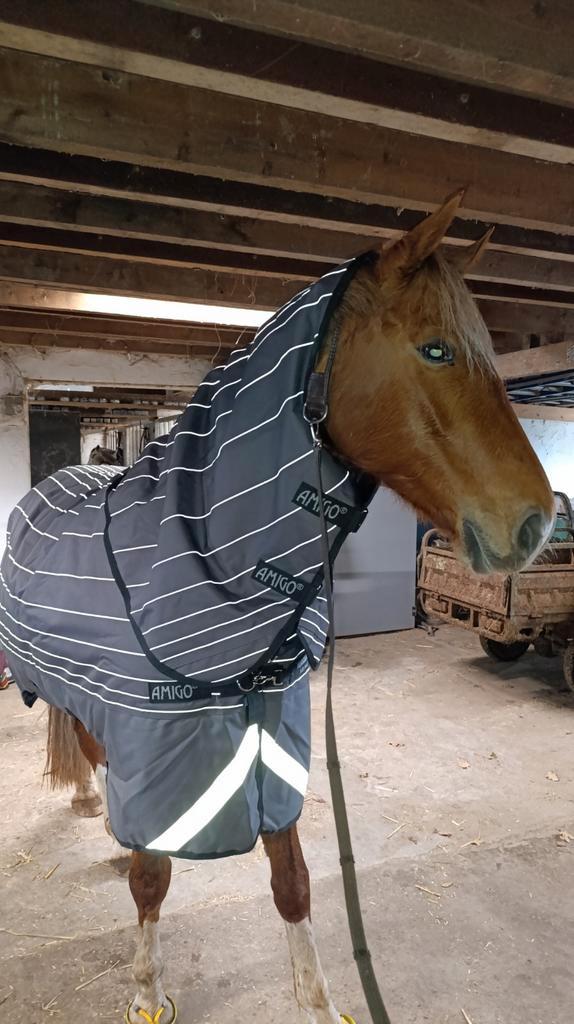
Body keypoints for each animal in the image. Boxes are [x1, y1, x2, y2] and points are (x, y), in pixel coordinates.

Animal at [2, 191, 554, 1024]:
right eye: (435, 350)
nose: (537, 521)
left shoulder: (276, 747)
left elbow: (292, 882)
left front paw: (320, 1003)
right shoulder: (154, 750)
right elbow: (153, 879)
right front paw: (147, 990)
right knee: (90, 753)